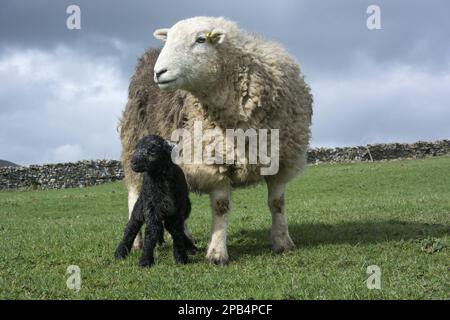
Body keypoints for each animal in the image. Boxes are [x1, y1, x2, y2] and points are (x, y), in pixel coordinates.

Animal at [114, 135, 195, 268]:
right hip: (140, 208)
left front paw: (180, 257)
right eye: (136, 148)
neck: (160, 178)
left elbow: (177, 232)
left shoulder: (177, 209)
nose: (132, 162)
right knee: (131, 227)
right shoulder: (151, 207)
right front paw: (145, 260)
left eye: (152, 151)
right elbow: (151, 232)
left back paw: (191, 247)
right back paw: (120, 252)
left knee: (170, 227)